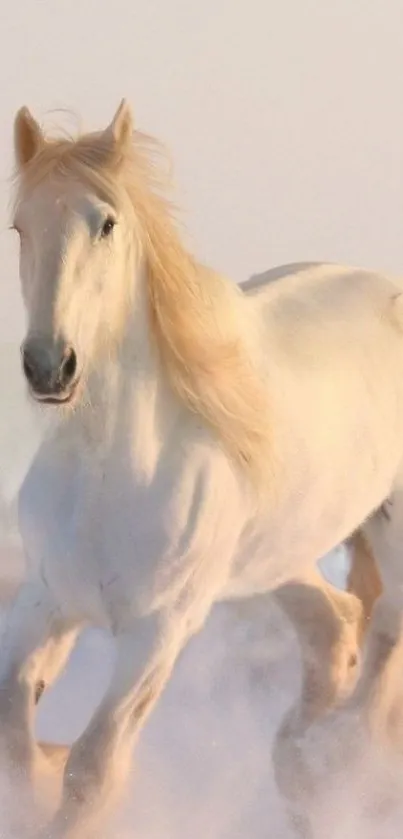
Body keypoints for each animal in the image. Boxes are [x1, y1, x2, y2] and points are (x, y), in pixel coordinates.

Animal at [3, 100, 403, 839]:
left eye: (106, 223)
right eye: (20, 225)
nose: (49, 366)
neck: (109, 474)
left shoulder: (157, 633)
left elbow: (93, 770)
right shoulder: (43, 602)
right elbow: (16, 739)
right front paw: (38, 769)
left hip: (388, 523)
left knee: (385, 625)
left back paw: (335, 765)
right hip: (276, 552)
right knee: (334, 624)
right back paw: (300, 768)